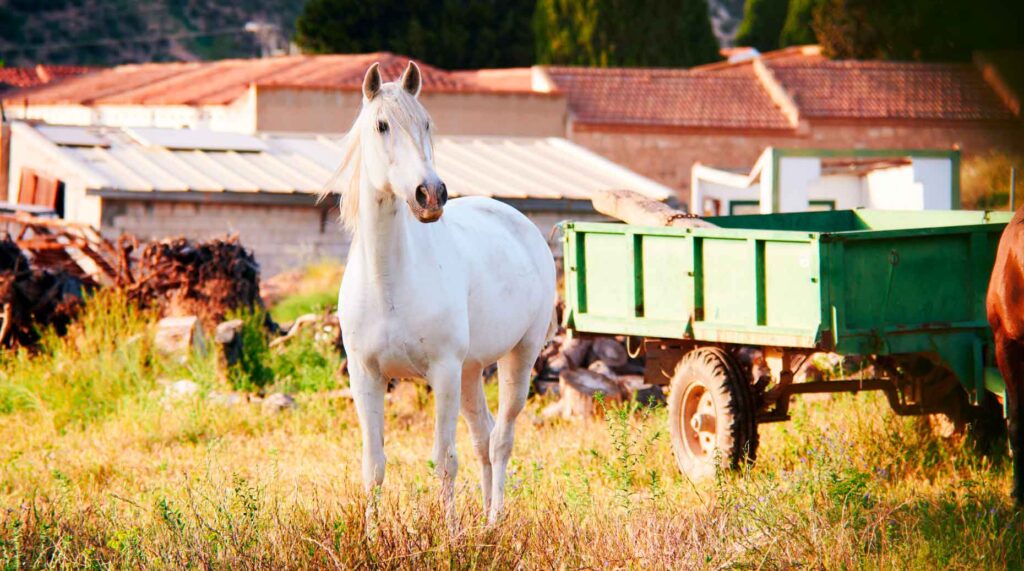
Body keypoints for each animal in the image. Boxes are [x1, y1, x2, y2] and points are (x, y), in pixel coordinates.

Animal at [327, 61, 557, 524]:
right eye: (381, 125)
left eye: (427, 123)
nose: (430, 194)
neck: (389, 282)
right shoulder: (366, 375)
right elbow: (373, 465)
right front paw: (372, 533)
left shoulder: (444, 371)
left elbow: (444, 460)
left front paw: (450, 532)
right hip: (471, 371)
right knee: (483, 437)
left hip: (518, 358)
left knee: (501, 439)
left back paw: (493, 522)